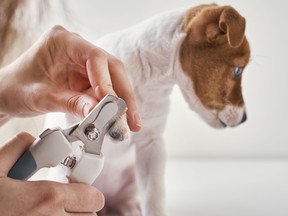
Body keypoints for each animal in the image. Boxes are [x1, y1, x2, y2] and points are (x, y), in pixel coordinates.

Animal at [49, 3, 250, 216]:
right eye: (238, 70)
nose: (245, 118)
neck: (149, 77)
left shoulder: (151, 146)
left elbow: (153, 196)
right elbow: (98, 94)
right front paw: (117, 120)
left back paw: (128, 207)